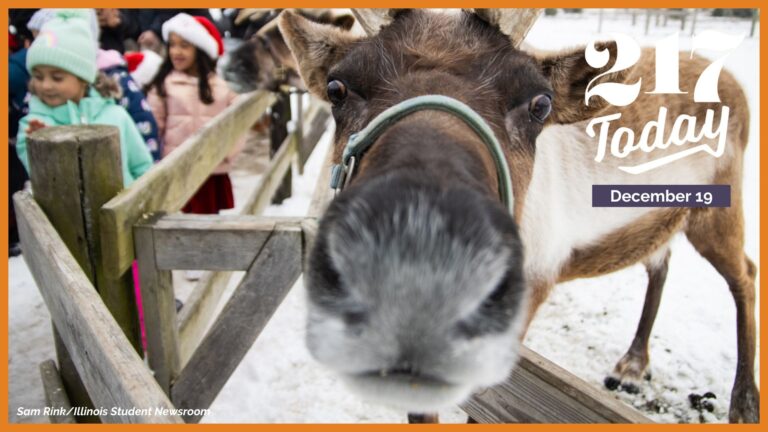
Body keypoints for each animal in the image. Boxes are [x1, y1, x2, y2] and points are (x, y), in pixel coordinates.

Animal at [278, 8, 758, 423]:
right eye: (337, 88)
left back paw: (743, 403)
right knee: (661, 262)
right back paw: (633, 365)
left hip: (718, 210)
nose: (416, 254)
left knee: (746, 274)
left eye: (540, 104)